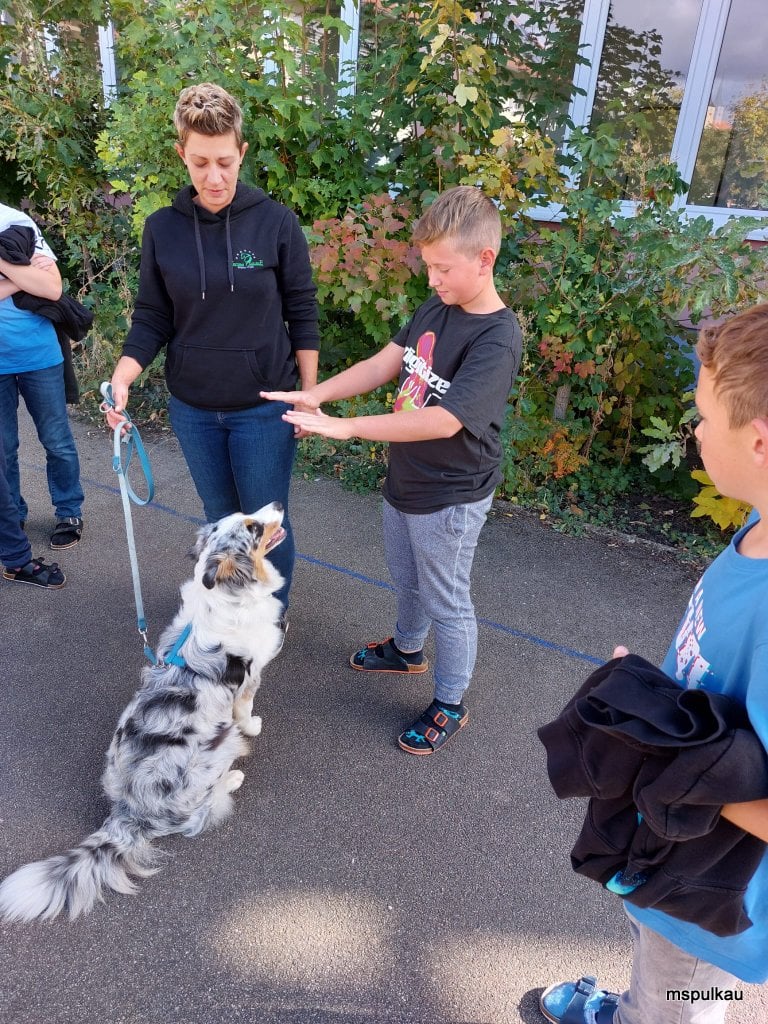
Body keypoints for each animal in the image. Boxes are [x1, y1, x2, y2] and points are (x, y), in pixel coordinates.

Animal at [0, 502, 287, 922]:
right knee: (201, 812)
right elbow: (246, 712)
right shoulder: (249, 680)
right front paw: (255, 725)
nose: (278, 505)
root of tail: (129, 812)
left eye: (247, 516)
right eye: (252, 527)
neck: (225, 596)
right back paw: (232, 779)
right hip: (219, 747)